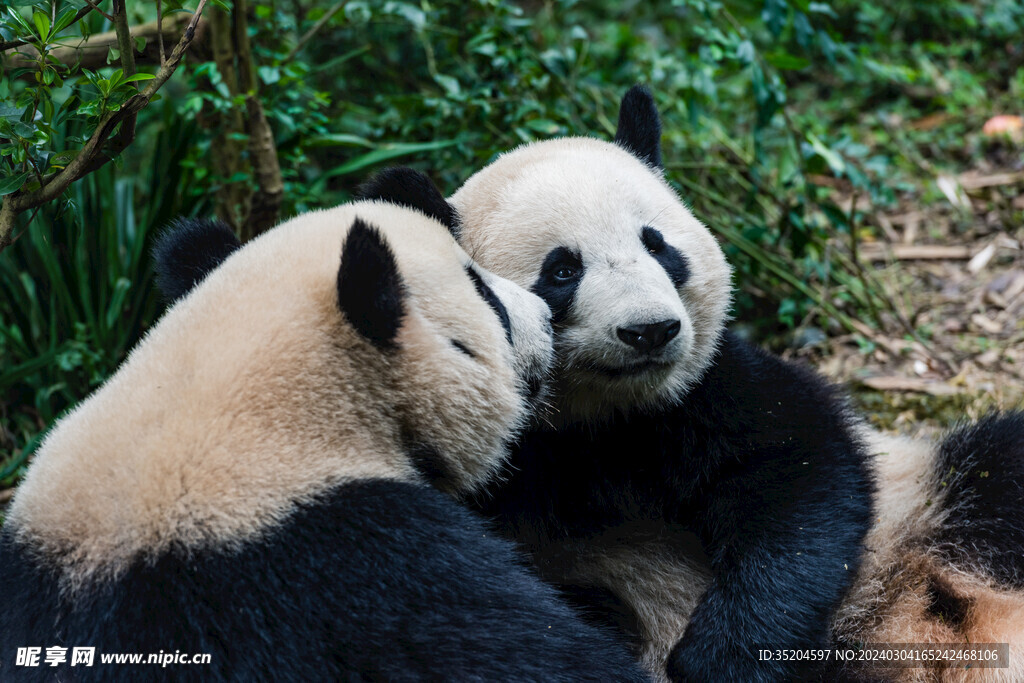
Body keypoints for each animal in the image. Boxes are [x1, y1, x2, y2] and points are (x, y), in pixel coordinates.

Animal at [360, 90, 1024, 683]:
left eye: (657, 245)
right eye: (562, 270)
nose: (650, 331)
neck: (601, 420)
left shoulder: (706, 391)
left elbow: (800, 474)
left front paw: (725, 656)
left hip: (926, 505)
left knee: (994, 477)